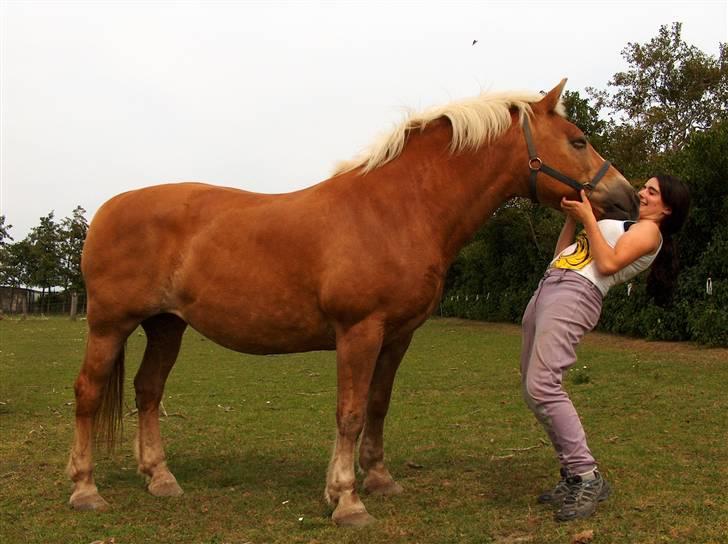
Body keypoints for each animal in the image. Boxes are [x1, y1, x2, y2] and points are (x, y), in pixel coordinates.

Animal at [68, 78, 636, 524]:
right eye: (579, 140)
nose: (627, 197)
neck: (397, 208)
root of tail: (106, 212)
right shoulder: (359, 331)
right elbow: (351, 411)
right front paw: (346, 500)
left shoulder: (398, 336)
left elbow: (379, 405)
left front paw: (379, 480)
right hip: (110, 325)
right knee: (88, 393)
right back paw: (85, 489)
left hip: (166, 325)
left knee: (148, 392)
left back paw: (160, 478)